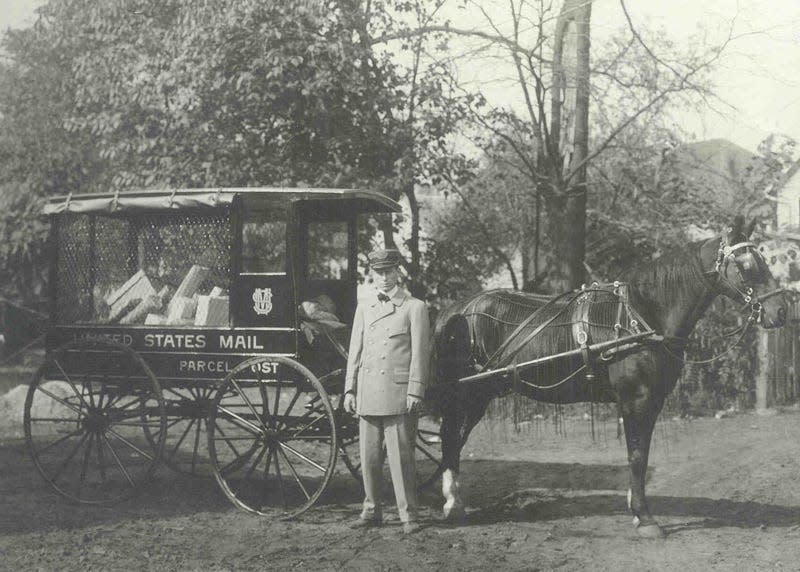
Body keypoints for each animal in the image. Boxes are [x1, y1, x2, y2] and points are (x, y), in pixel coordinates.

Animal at [432, 217, 788, 540]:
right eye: (746, 265)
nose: (781, 310)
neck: (643, 316)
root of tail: (454, 310)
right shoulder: (636, 398)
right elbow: (636, 455)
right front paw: (645, 518)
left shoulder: (652, 401)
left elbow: (641, 453)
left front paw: (635, 506)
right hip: (469, 394)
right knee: (450, 437)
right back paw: (452, 505)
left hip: (479, 395)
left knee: (455, 439)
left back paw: (454, 502)